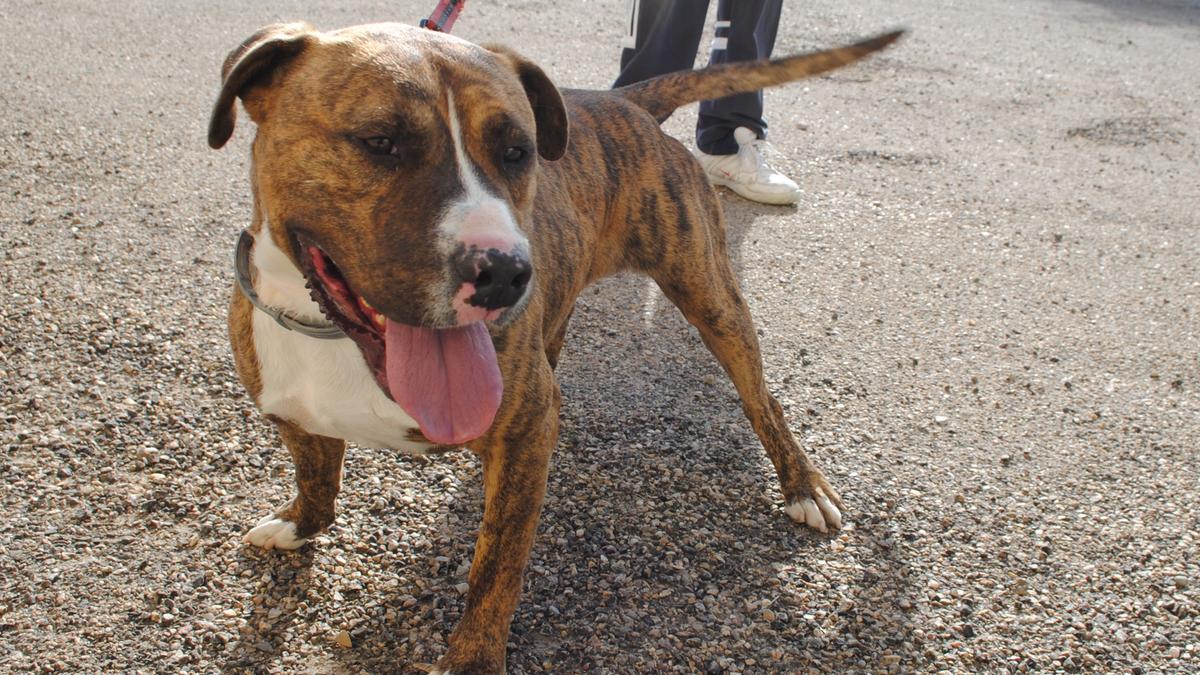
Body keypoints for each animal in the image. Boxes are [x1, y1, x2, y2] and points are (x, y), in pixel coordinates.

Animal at [208, 23, 902, 667]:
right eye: (380, 142)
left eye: (518, 152)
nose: (505, 273)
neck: (334, 338)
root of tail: (620, 101)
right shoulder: (295, 414)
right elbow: (317, 478)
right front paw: (299, 524)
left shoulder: (523, 432)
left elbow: (496, 568)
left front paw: (470, 659)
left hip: (710, 293)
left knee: (763, 400)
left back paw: (803, 487)